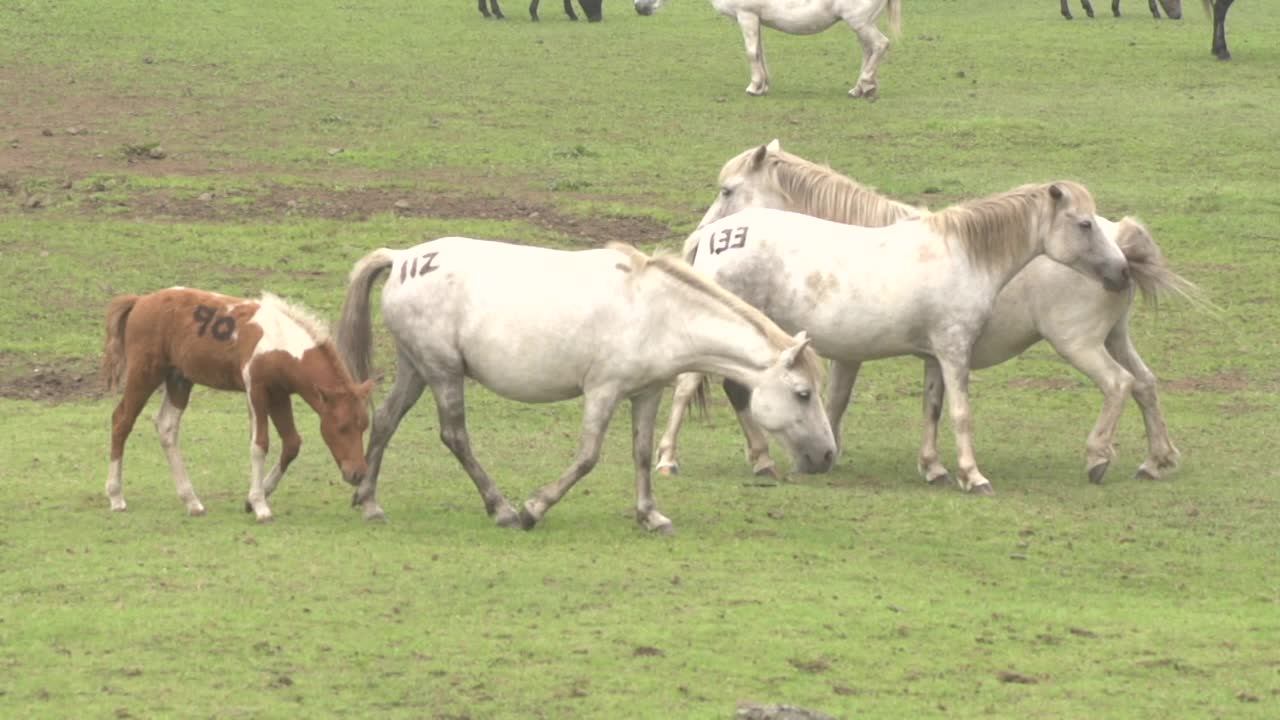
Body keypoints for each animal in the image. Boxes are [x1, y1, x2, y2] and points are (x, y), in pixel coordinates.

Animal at [100, 288, 373, 517]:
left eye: (363, 426)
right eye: (342, 427)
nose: (358, 473)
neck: (279, 341)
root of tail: (141, 301)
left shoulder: (279, 395)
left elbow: (292, 443)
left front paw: (254, 498)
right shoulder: (257, 391)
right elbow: (259, 444)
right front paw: (260, 505)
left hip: (179, 379)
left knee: (166, 427)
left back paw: (192, 501)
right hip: (145, 373)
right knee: (121, 420)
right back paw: (116, 497)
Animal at [335, 238, 834, 530]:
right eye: (803, 394)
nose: (828, 455)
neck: (657, 310)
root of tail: (403, 259)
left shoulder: (646, 393)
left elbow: (640, 451)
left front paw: (650, 515)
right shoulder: (604, 391)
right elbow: (588, 456)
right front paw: (535, 508)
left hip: (417, 368)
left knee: (384, 421)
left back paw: (369, 501)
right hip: (442, 372)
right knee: (454, 435)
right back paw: (502, 509)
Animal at [637, 0, 901, 101]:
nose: (639, 7)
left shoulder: (746, 16)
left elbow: (751, 53)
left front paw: (754, 87)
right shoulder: (755, 20)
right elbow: (760, 54)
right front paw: (763, 85)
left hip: (859, 22)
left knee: (879, 45)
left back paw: (865, 84)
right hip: (862, 23)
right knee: (869, 51)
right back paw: (860, 88)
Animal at [660, 140, 1198, 484]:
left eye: (726, 190)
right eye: (1082, 225)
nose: (1118, 270)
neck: (965, 251)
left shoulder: (934, 353)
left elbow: (936, 409)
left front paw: (940, 468)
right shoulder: (930, 353)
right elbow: (940, 410)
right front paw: (956, 472)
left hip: (1089, 343)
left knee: (1128, 384)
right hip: (1097, 341)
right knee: (1137, 384)